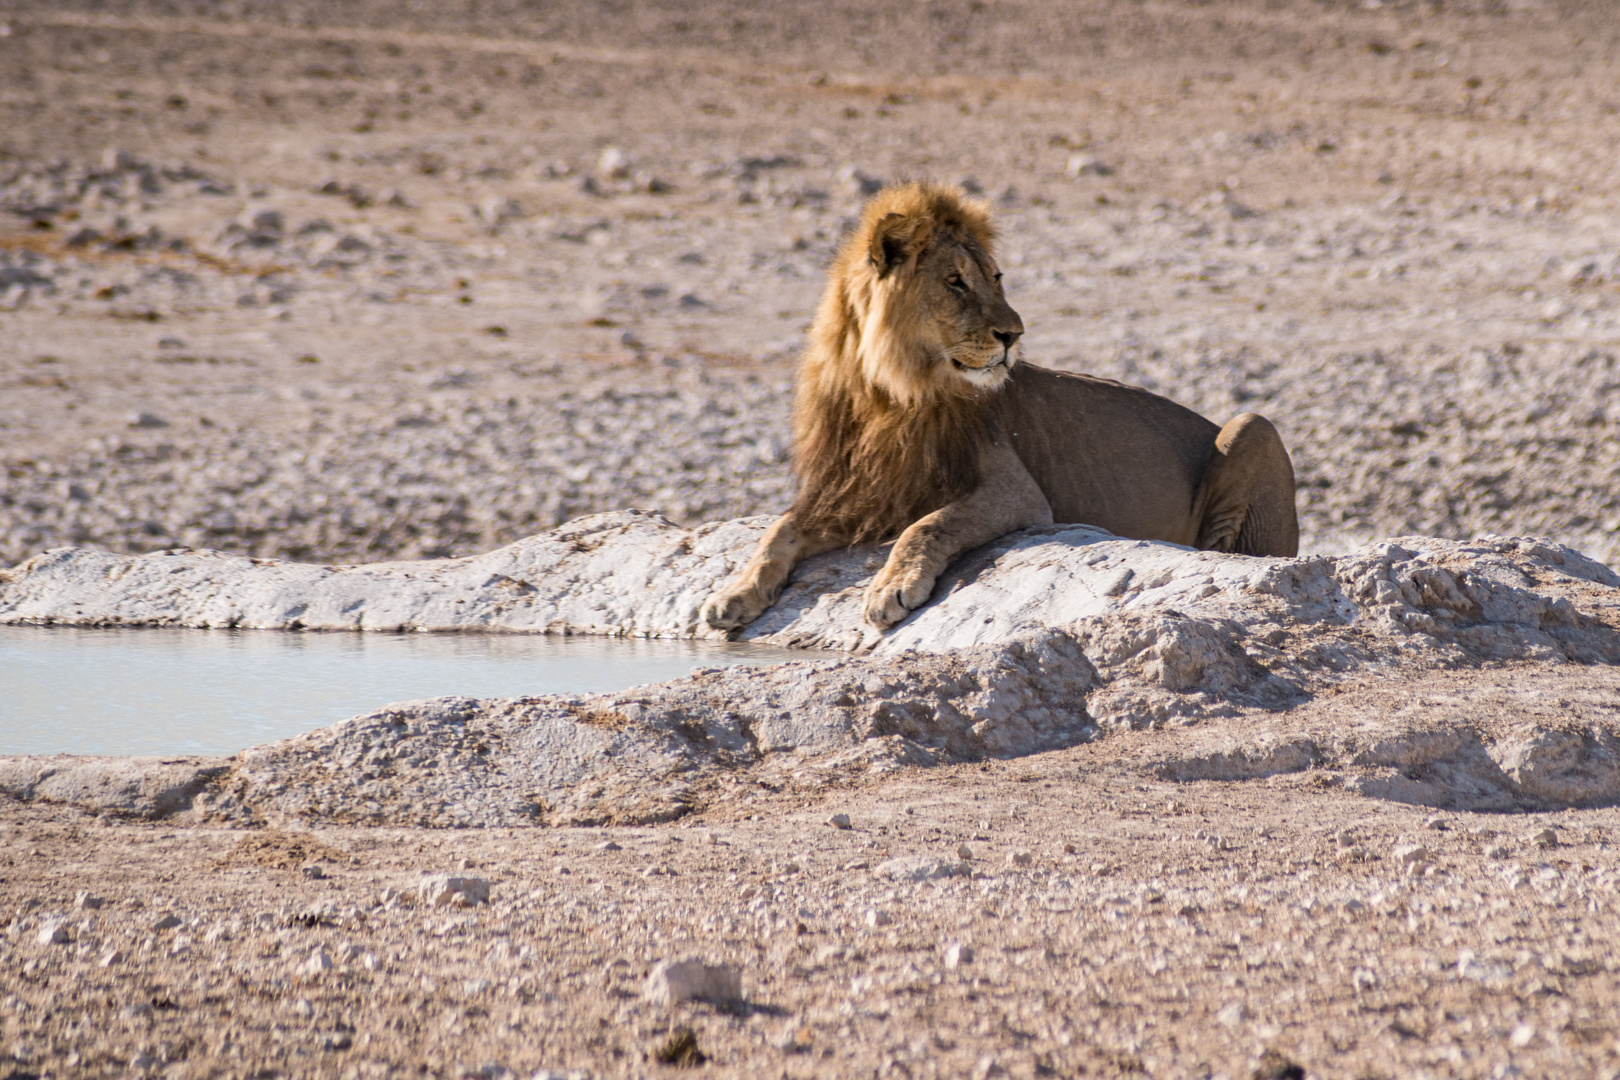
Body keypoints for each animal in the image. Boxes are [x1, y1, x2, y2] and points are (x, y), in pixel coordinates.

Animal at [703, 179, 1296, 634]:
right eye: (955, 282)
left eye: (996, 278)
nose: (1014, 335)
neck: (889, 394)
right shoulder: (858, 491)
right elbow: (779, 531)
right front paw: (732, 595)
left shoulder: (1017, 493)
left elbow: (930, 524)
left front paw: (891, 587)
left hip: (1253, 425)